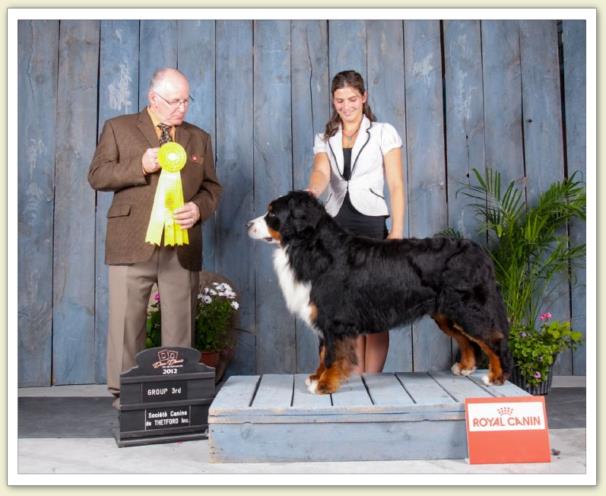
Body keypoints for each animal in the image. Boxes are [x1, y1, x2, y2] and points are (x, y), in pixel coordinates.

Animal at [247, 191, 512, 396]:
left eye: (272, 214)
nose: (248, 225)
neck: (314, 248)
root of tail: (477, 250)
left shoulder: (335, 319)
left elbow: (332, 354)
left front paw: (325, 384)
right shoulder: (323, 316)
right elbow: (323, 352)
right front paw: (316, 377)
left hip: (469, 308)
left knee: (493, 338)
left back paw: (497, 376)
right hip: (447, 313)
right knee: (466, 339)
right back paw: (465, 367)